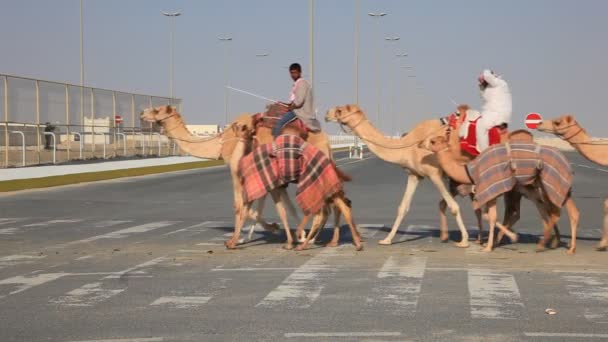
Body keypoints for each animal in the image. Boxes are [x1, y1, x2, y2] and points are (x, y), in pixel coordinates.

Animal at [229, 123, 360, 251]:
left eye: (240, 127)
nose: (235, 125)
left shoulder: (271, 187)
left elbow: (276, 212)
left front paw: (233, 242)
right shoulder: (275, 188)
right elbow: (271, 210)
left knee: (327, 210)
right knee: (338, 206)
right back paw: (342, 242)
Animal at [326, 103, 472, 246]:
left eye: (340, 110)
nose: (327, 114)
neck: (409, 146)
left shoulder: (434, 173)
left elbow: (453, 206)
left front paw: (464, 240)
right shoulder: (414, 175)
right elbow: (403, 207)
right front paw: (386, 240)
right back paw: (445, 236)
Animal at [428, 134, 580, 254]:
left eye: (433, 141)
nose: (424, 145)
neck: (469, 171)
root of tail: (567, 163)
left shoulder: (491, 189)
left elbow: (490, 216)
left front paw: (490, 246)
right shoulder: (490, 192)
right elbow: (488, 215)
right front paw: (495, 242)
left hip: (550, 186)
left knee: (555, 212)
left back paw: (546, 244)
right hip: (545, 189)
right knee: (564, 212)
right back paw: (561, 245)